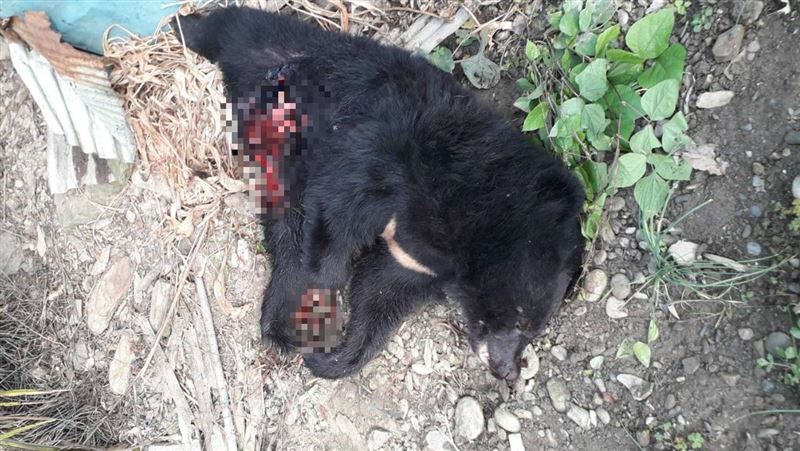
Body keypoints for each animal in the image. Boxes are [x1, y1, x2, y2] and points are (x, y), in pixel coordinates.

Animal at [174, 6, 585, 382]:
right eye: (521, 320)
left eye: (532, 331)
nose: (506, 370)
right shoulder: (397, 148)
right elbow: (340, 202)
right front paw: (325, 290)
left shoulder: (413, 259)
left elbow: (380, 293)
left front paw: (334, 355)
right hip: (279, 44)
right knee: (231, 26)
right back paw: (182, 24)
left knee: (286, 240)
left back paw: (281, 330)